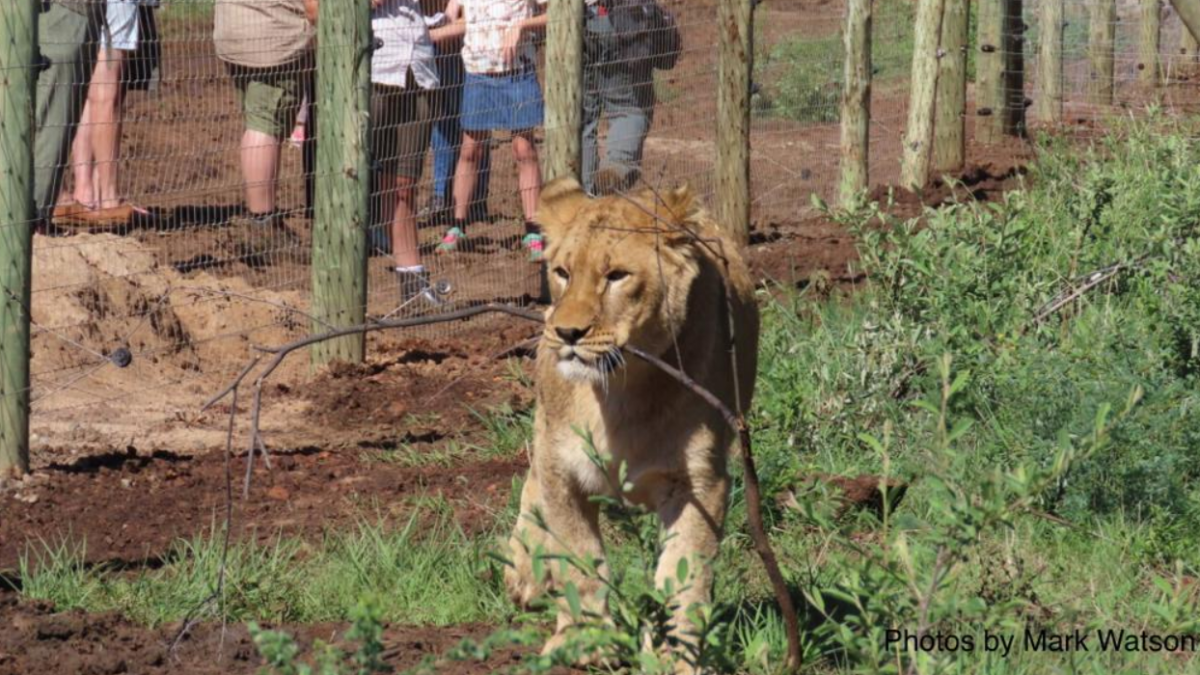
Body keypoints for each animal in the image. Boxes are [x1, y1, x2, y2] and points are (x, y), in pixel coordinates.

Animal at [506, 174, 758, 667]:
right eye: (563, 273)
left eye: (617, 276)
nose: (567, 333)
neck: (619, 391)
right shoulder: (561, 468)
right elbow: (578, 558)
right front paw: (584, 637)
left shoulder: (700, 482)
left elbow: (683, 572)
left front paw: (671, 655)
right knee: (531, 484)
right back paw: (524, 571)